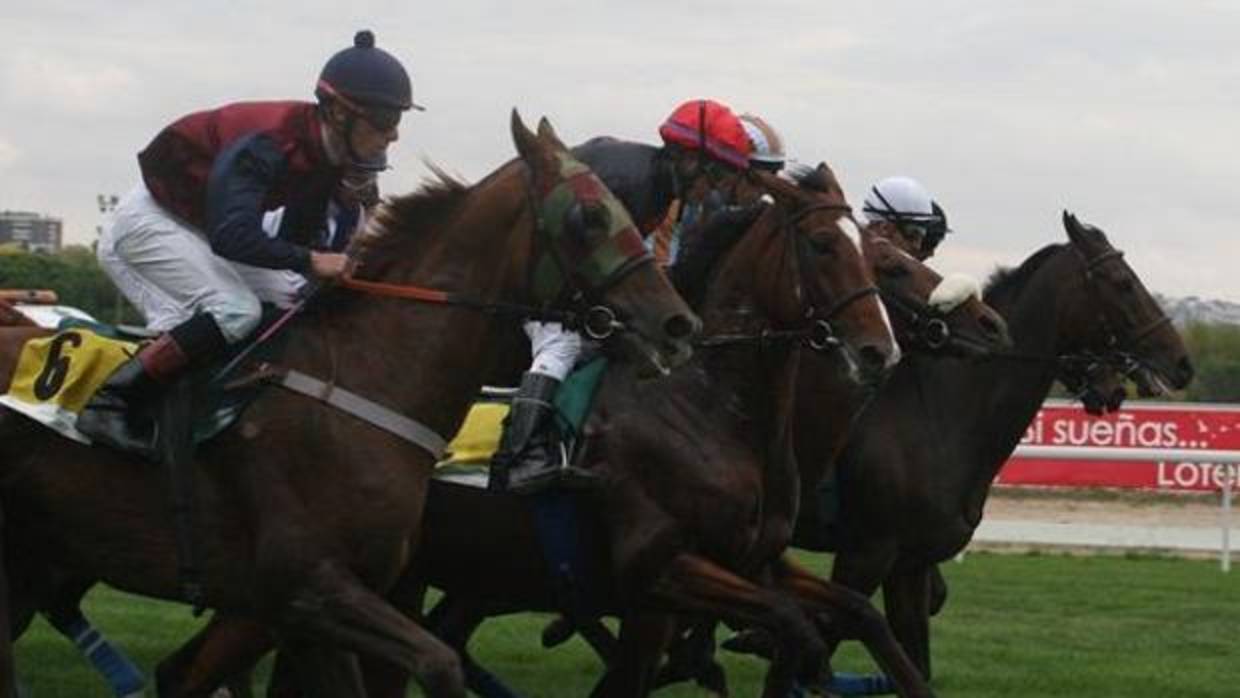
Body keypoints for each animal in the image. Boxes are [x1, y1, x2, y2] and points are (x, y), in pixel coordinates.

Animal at [0, 112, 699, 694]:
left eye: (630, 212)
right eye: (590, 218)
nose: (676, 323)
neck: (369, 377)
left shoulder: (326, 606)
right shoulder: (310, 586)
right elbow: (439, 664)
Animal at [808, 213, 1195, 684]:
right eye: (1123, 282)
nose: (1182, 363)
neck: (935, 413)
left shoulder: (907, 562)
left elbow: (915, 658)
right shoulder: (865, 553)